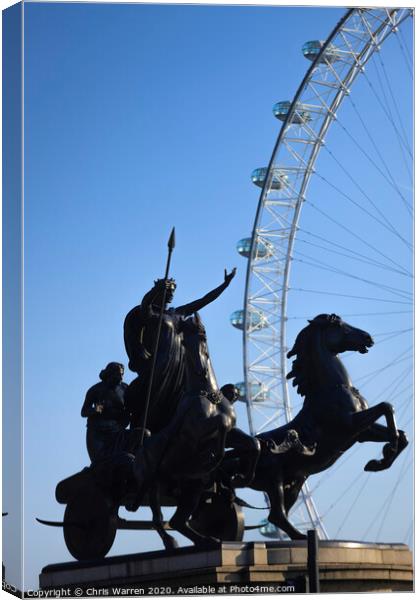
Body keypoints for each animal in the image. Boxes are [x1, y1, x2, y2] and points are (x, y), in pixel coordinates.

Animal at [238, 314, 408, 540]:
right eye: (339, 325)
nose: (368, 337)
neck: (332, 388)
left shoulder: (361, 433)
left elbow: (402, 433)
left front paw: (380, 461)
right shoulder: (350, 424)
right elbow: (387, 406)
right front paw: (387, 451)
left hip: (296, 480)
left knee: (278, 514)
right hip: (274, 479)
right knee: (276, 514)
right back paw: (305, 537)